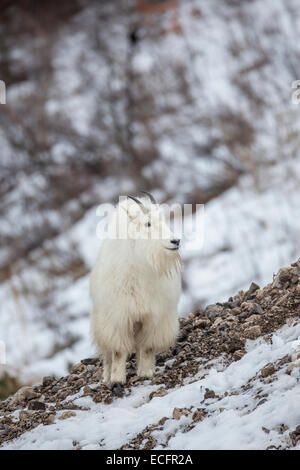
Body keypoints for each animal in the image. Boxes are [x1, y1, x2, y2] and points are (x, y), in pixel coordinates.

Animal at [90, 189, 182, 392]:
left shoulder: (154, 318)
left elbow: (147, 347)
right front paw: (117, 379)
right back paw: (106, 377)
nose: (175, 241)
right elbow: (118, 351)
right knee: (107, 354)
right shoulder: (119, 318)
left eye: (164, 220)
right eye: (148, 223)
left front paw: (146, 373)